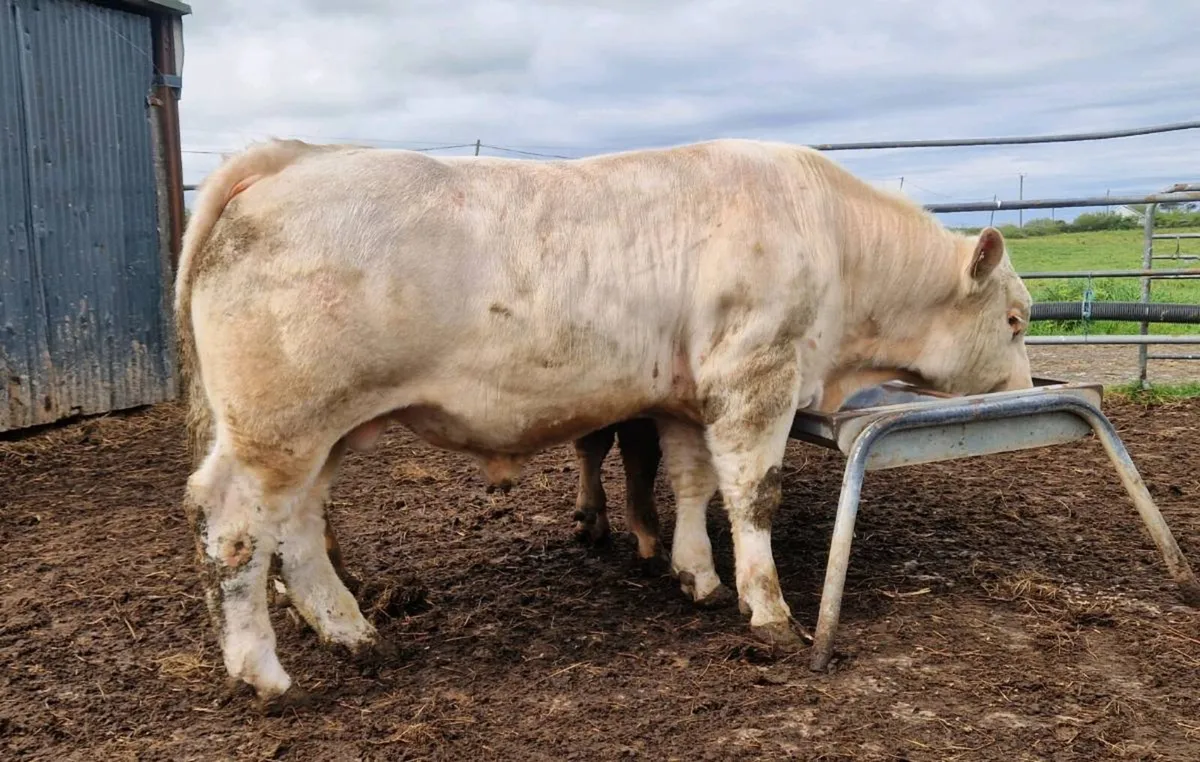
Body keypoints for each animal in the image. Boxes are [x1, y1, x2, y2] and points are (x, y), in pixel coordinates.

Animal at [174, 137, 1032, 709]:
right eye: (1018, 319)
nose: (1030, 388)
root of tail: (294, 157)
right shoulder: (754, 377)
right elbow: (754, 495)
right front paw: (769, 609)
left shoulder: (686, 397)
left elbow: (692, 485)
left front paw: (696, 573)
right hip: (276, 426)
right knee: (235, 525)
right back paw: (262, 671)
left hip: (320, 433)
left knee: (299, 528)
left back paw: (350, 631)